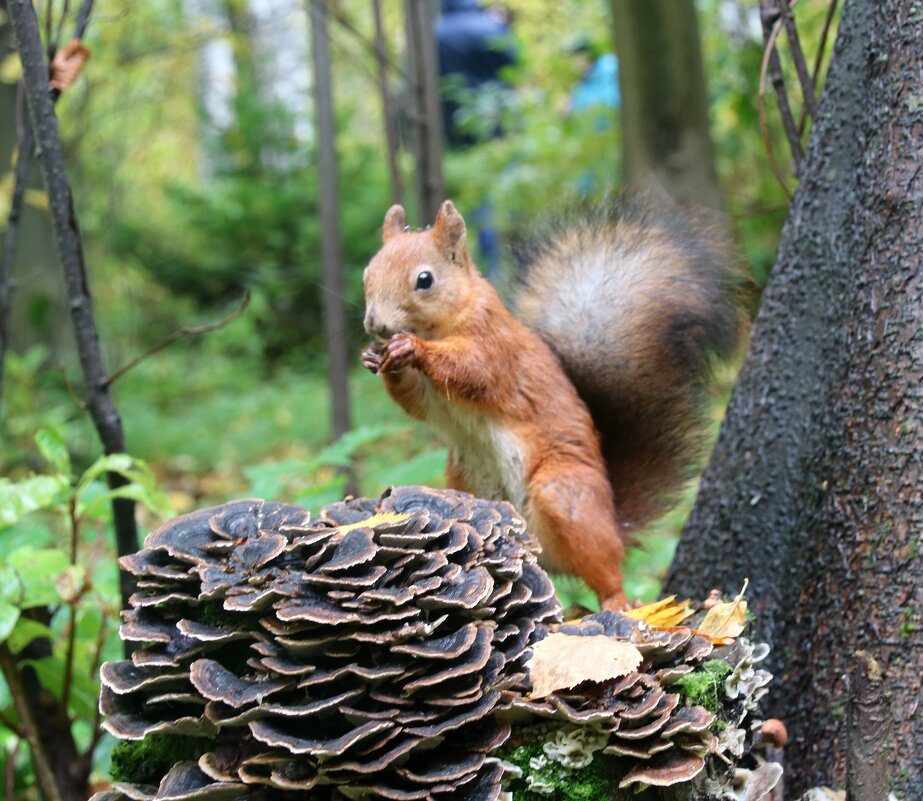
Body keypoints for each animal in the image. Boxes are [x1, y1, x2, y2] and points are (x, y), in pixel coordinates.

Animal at [362, 195, 744, 608]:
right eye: (368, 274)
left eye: (425, 280)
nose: (375, 324)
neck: (442, 322)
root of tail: (613, 522)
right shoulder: (426, 393)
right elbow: (413, 400)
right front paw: (375, 356)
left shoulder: (495, 346)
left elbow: (472, 369)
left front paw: (412, 348)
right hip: (466, 483)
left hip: (563, 495)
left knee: (605, 570)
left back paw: (617, 601)